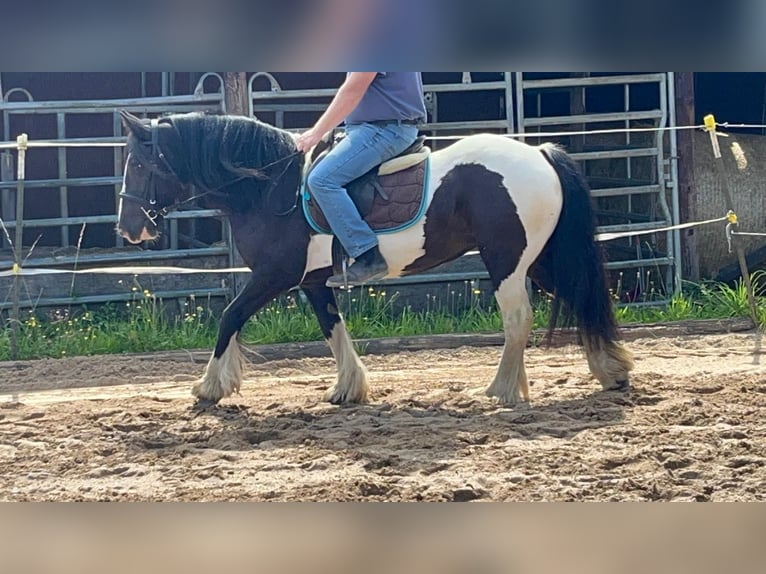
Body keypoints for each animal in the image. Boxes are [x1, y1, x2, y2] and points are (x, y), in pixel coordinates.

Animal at [118, 111, 636, 410]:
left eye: (140, 164)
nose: (129, 228)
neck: (270, 188)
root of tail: (540, 153)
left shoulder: (274, 275)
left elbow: (229, 316)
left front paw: (209, 387)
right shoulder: (312, 281)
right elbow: (333, 329)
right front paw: (348, 388)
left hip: (507, 261)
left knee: (517, 319)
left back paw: (503, 390)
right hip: (540, 259)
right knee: (581, 297)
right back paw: (609, 371)